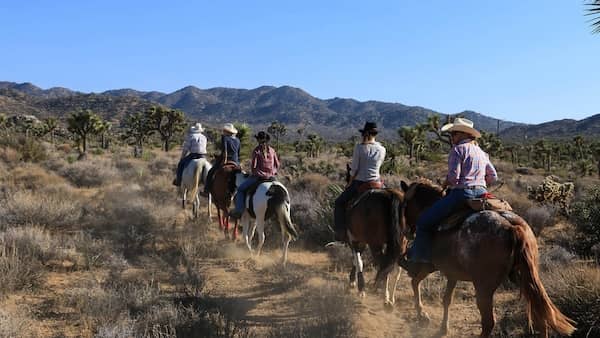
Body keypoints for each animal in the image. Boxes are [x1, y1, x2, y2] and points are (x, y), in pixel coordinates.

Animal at [398, 181, 576, 338]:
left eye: (405, 204)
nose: (407, 230)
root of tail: (513, 227)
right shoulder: (452, 273)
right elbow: (446, 299)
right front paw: (442, 328)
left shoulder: (429, 265)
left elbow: (415, 281)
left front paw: (423, 315)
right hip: (526, 278)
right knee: (540, 316)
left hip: (484, 288)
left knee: (489, 322)